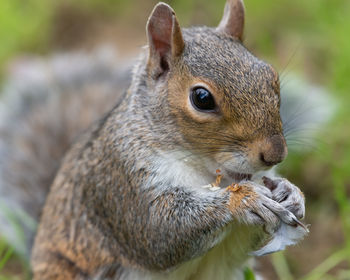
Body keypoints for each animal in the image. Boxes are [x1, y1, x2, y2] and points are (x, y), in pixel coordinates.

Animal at [0, 1, 312, 278]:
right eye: (202, 98)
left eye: (271, 76)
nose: (275, 154)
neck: (204, 170)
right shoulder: (120, 182)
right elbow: (159, 233)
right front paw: (244, 200)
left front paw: (291, 193)